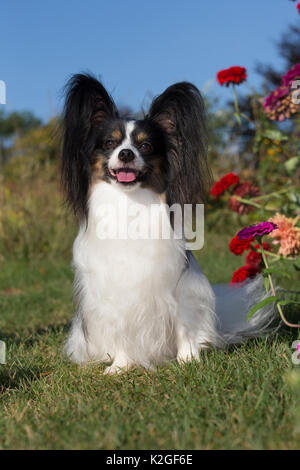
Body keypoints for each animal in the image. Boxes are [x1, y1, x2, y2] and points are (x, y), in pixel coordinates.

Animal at [61, 74, 276, 374]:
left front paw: (188, 360)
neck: (130, 202)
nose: (126, 154)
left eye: (145, 146)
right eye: (109, 143)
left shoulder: (181, 286)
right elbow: (121, 329)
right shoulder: (115, 295)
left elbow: (184, 324)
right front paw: (120, 366)